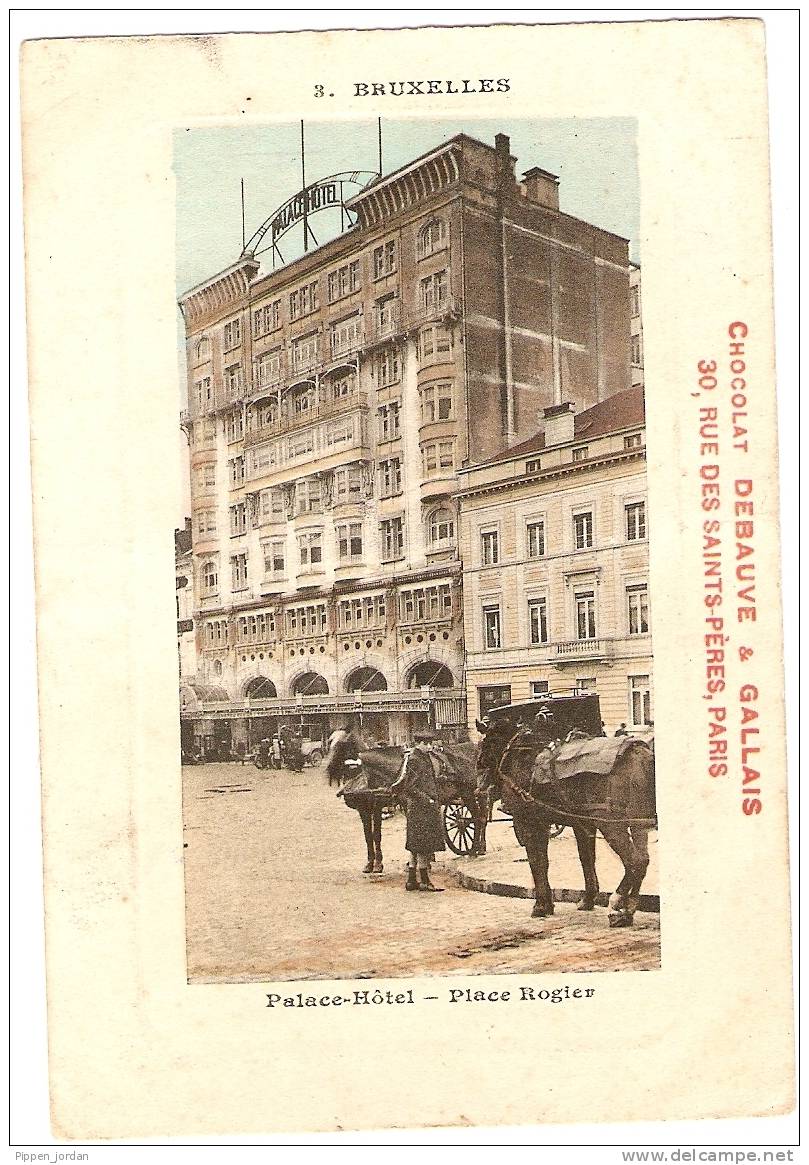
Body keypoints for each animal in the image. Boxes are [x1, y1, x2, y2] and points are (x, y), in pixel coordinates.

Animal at [477, 717, 657, 927]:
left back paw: (617, 903)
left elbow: (537, 862)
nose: (479, 788)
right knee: (643, 861)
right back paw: (628, 909)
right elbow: (584, 858)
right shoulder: (580, 824)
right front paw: (584, 899)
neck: (521, 757)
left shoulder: (529, 822)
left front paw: (540, 905)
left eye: (486, 743)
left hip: (612, 825)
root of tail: (642, 754)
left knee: (634, 862)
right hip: (639, 824)